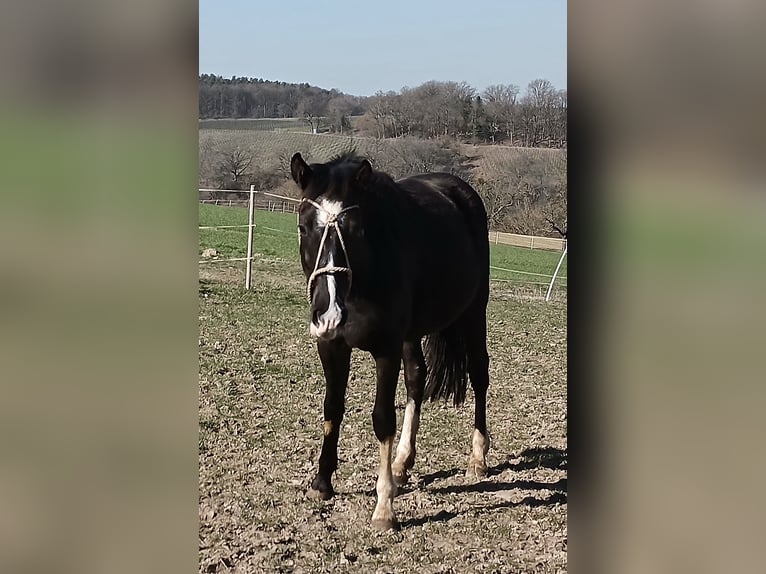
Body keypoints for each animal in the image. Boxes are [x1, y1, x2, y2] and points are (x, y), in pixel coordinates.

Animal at [290, 151, 490, 530]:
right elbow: (332, 408)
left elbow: (383, 418)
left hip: (474, 314)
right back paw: (402, 461)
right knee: (416, 378)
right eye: (304, 227)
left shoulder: (386, 350)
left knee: (479, 376)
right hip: (411, 336)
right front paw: (322, 483)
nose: (327, 312)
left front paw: (384, 507)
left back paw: (478, 458)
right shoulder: (331, 345)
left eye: (356, 230)